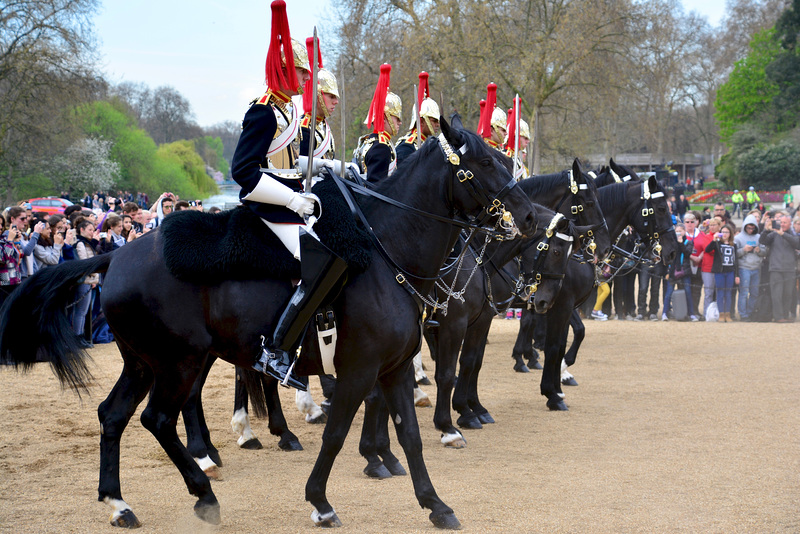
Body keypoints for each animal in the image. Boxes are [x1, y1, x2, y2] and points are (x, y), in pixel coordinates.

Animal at [1, 120, 536, 532]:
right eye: (485, 162)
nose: (530, 216)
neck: (388, 254)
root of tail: (116, 256)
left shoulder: (395, 368)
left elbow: (409, 435)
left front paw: (435, 504)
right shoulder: (359, 370)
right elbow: (338, 433)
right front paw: (321, 501)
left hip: (144, 363)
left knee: (113, 416)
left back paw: (119, 503)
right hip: (179, 362)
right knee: (158, 419)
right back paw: (204, 489)